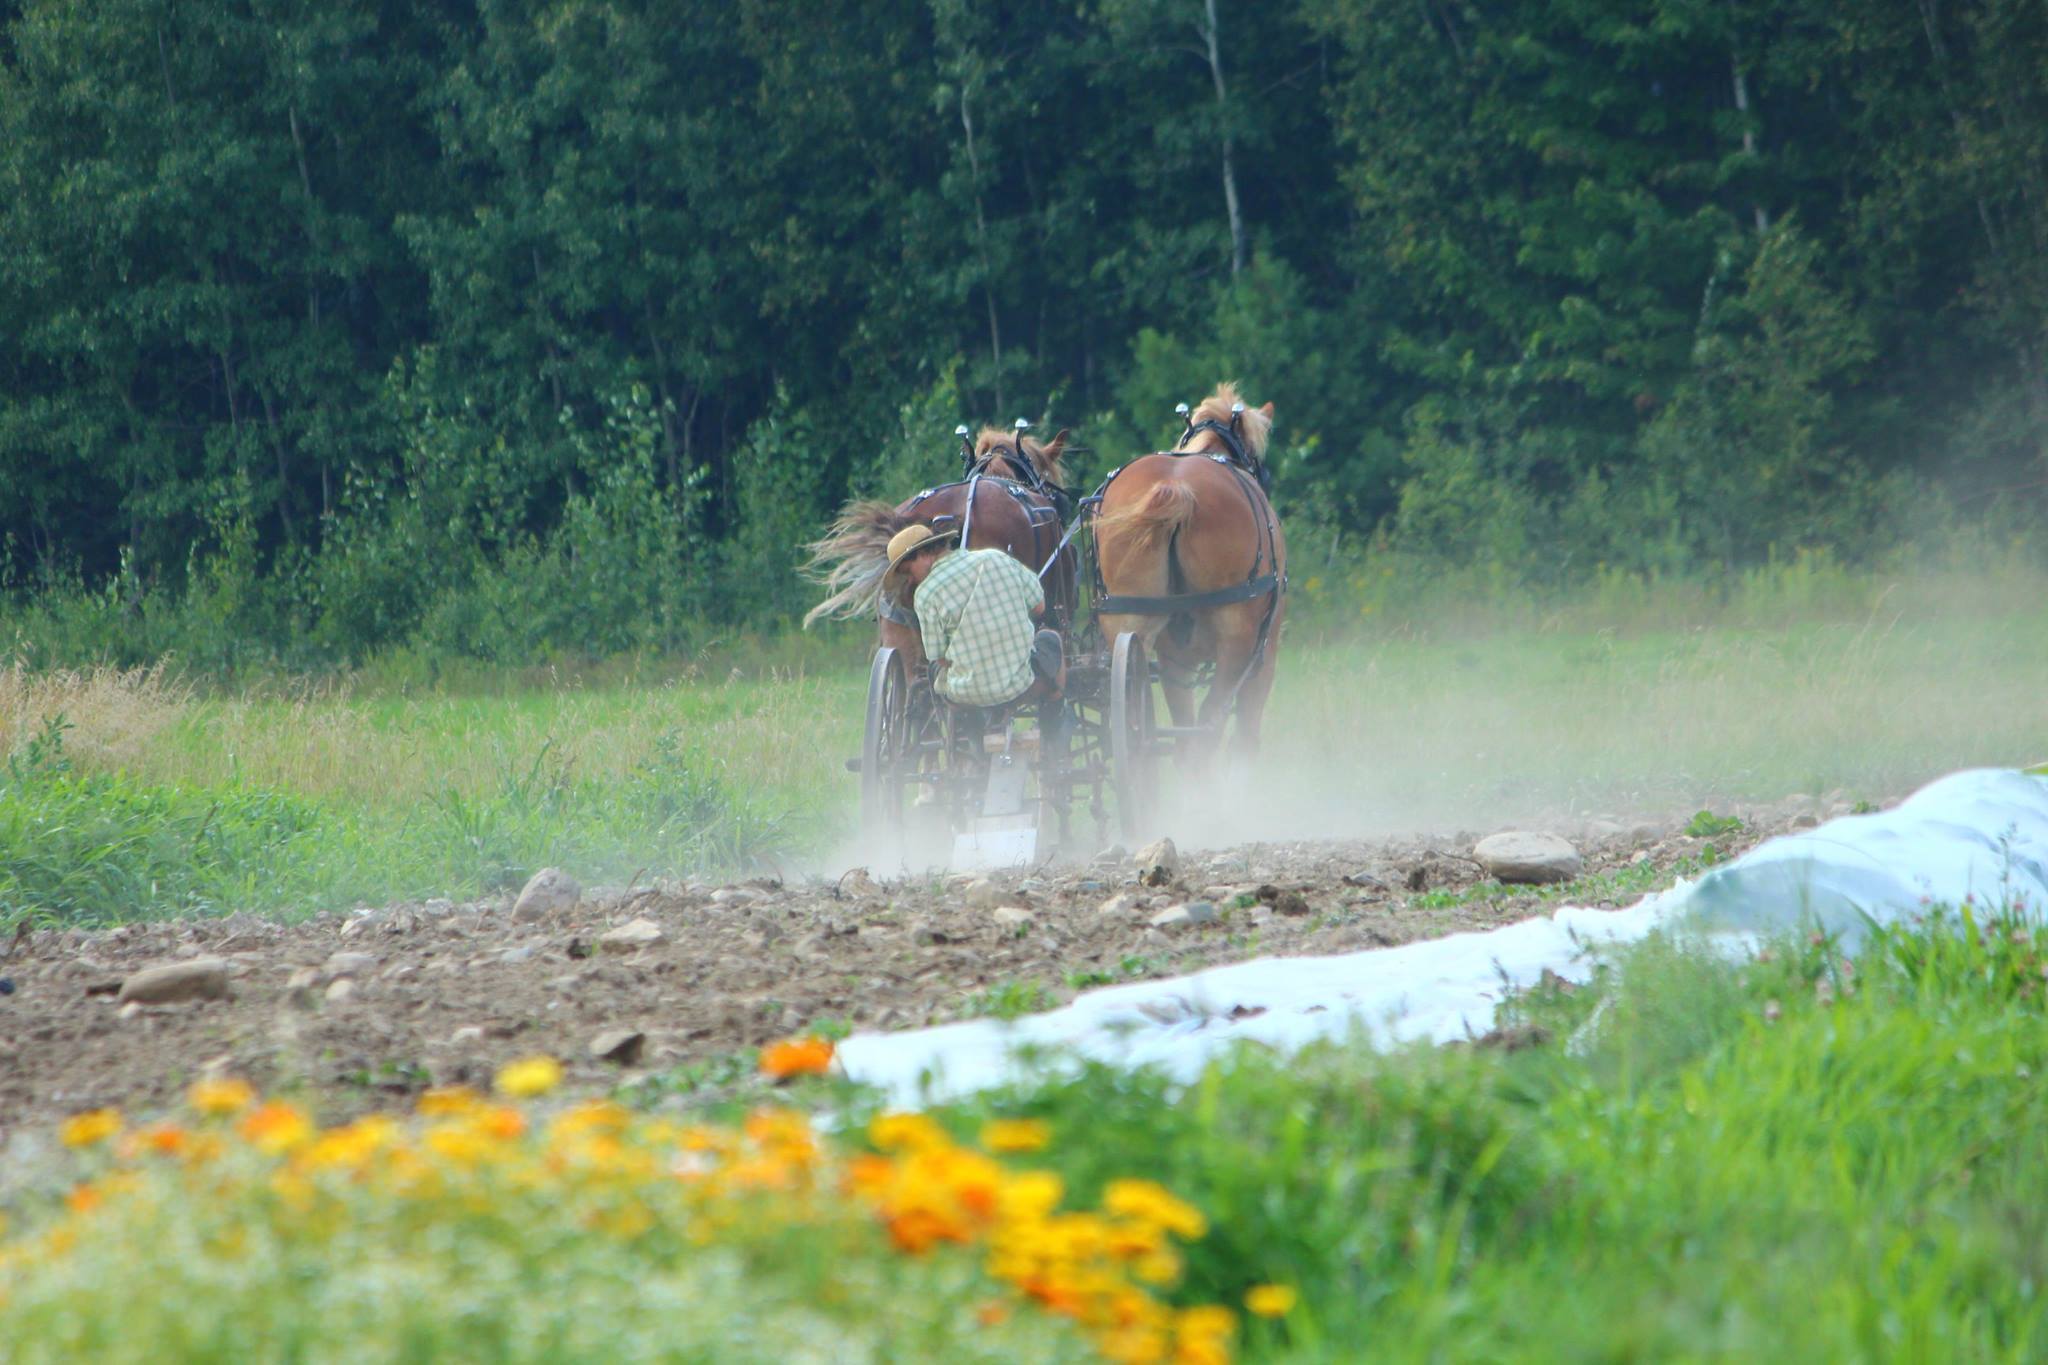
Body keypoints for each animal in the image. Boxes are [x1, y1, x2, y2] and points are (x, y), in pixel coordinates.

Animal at [1097, 384, 1286, 765]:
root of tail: (1175, 490)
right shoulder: (1266, 651)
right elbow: (1245, 728)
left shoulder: (1175, 662)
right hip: (1236, 640)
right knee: (1210, 724)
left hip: (1128, 627)